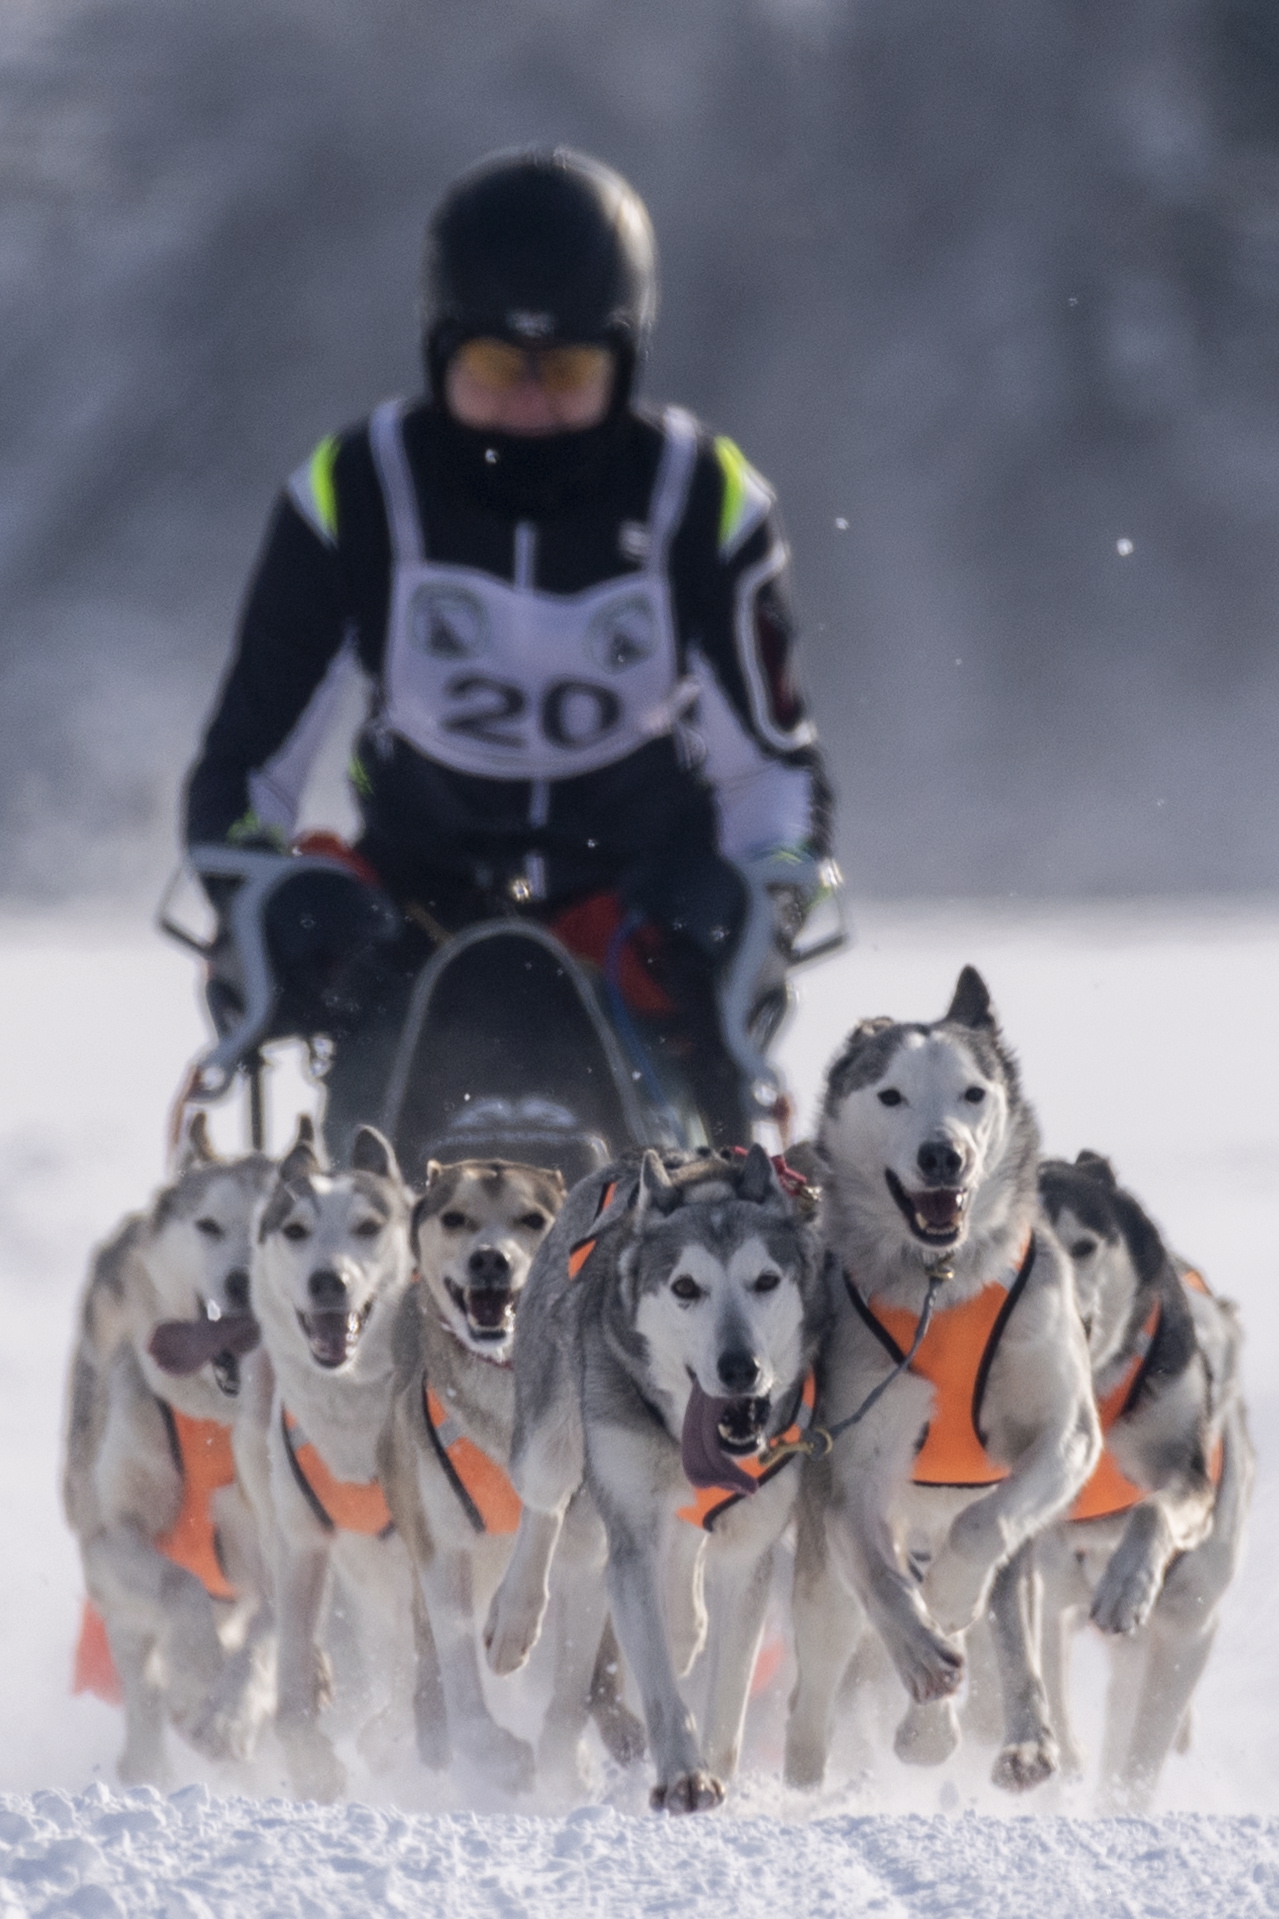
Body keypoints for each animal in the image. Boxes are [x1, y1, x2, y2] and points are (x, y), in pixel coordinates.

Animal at [60, 1120, 274, 1788]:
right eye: (209, 1225)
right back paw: (150, 1756)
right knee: (142, 1681)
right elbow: (179, 1588)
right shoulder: (108, 1539)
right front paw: (197, 1676)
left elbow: (268, 1634)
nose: (242, 1282)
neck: (214, 1416)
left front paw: (231, 1714)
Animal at [249, 1113, 422, 1796]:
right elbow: (294, 1667)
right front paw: (311, 1760)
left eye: (368, 1226)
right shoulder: (302, 1541)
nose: (329, 1280)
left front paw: (389, 1738)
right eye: (295, 1230)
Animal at [483, 1143, 821, 1803]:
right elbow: (660, 1683)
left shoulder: (749, 1550)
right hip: (550, 1434)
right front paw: (684, 1776)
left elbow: (728, 1697)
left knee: (685, 1552)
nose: (740, 1367)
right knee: (545, 1503)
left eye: (766, 1281)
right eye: (686, 1287)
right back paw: (515, 1618)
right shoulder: (631, 1530)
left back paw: (686, 1622)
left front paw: (716, 1770)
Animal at [783, 967, 1090, 1788]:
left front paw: (950, 1592)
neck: (941, 1285)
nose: (941, 1156)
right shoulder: (851, 1465)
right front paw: (921, 1655)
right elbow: (883, 1582)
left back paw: (1019, 1736)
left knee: (1009, 1621)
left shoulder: (1065, 1435)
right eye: (890, 1095)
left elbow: (980, 1529)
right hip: (822, 1589)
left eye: (971, 1093)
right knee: (816, 1678)